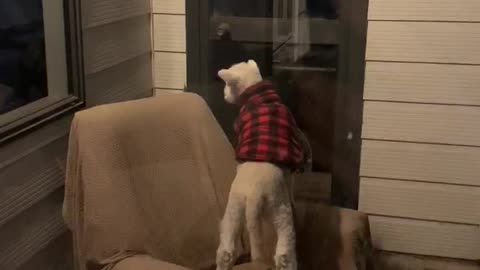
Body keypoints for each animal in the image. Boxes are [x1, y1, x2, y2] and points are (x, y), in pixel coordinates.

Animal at [215, 60, 312, 270]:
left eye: (227, 85)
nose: (224, 95)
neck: (258, 97)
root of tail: (253, 197)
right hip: (281, 212)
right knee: (284, 255)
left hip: (233, 212)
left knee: (226, 252)